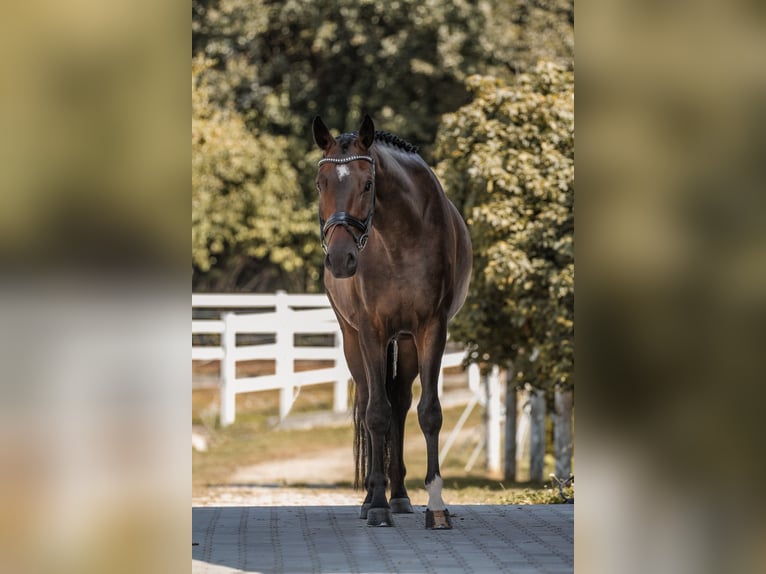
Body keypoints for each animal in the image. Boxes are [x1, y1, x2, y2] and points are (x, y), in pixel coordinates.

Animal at [314, 113, 474, 532]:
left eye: (368, 184)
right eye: (321, 183)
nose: (340, 259)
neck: (399, 238)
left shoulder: (431, 329)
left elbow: (429, 413)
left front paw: (436, 505)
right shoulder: (371, 331)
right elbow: (376, 414)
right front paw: (376, 504)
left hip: (404, 342)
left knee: (400, 403)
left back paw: (400, 494)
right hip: (352, 339)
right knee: (371, 401)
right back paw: (374, 498)